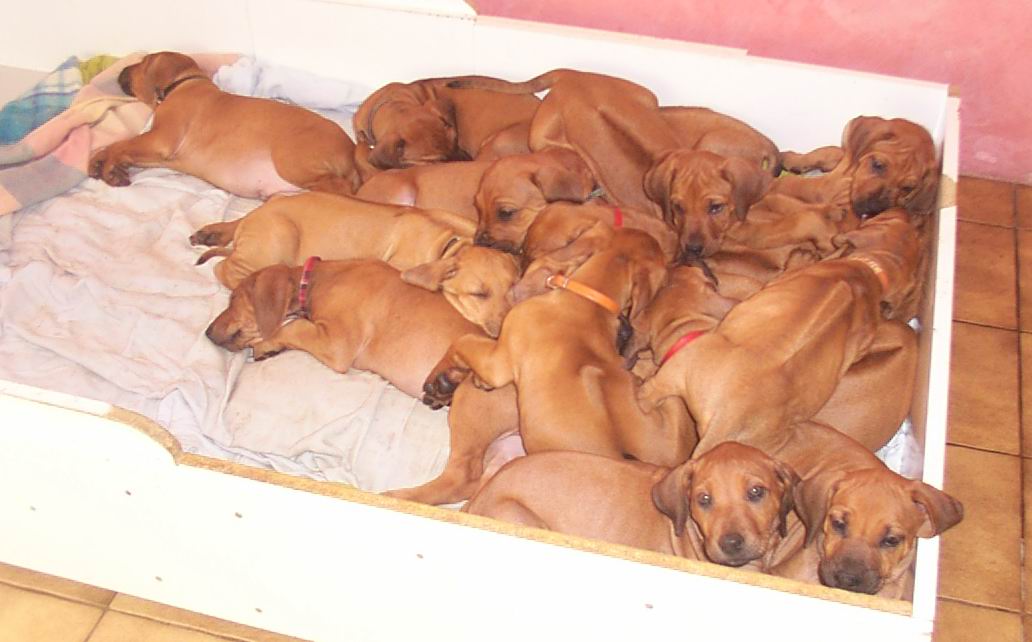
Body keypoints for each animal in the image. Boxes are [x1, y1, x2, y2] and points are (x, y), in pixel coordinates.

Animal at [88, 51, 360, 198]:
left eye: (143, 62)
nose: (121, 70)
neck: (184, 83)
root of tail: (350, 150)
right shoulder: (159, 155)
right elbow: (115, 147)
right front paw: (102, 163)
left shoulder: (160, 140)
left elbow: (119, 144)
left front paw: (109, 166)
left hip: (291, 161)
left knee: (342, 188)